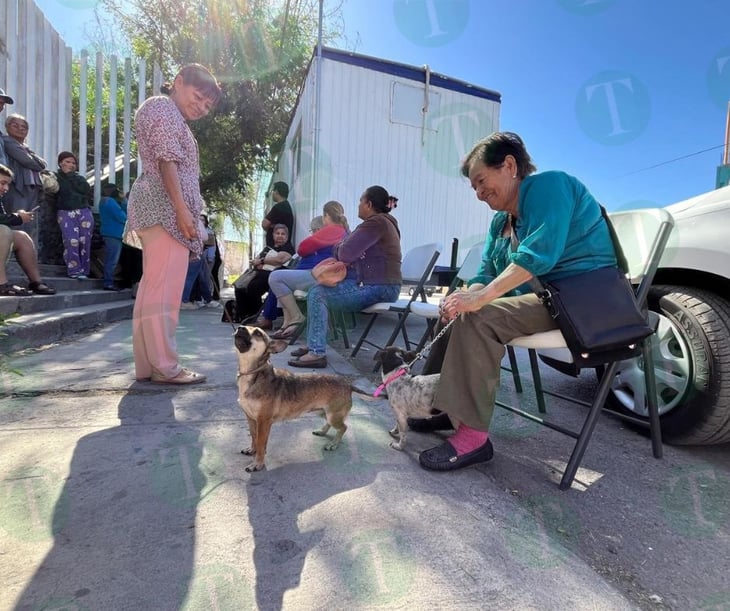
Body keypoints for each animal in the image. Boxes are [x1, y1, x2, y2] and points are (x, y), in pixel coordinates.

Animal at [235, 326, 362, 474]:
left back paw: (333, 444)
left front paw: (257, 463)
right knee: (331, 424)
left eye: (258, 333)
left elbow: (261, 443)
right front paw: (252, 450)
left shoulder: (263, 422)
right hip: (325, 412)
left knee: (343, 427)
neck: (253, 374)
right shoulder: (251, 418)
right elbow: (254, 437)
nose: (240, 328)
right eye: (244, 326)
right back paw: (322, 431)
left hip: (333, 415)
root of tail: (348, 385)